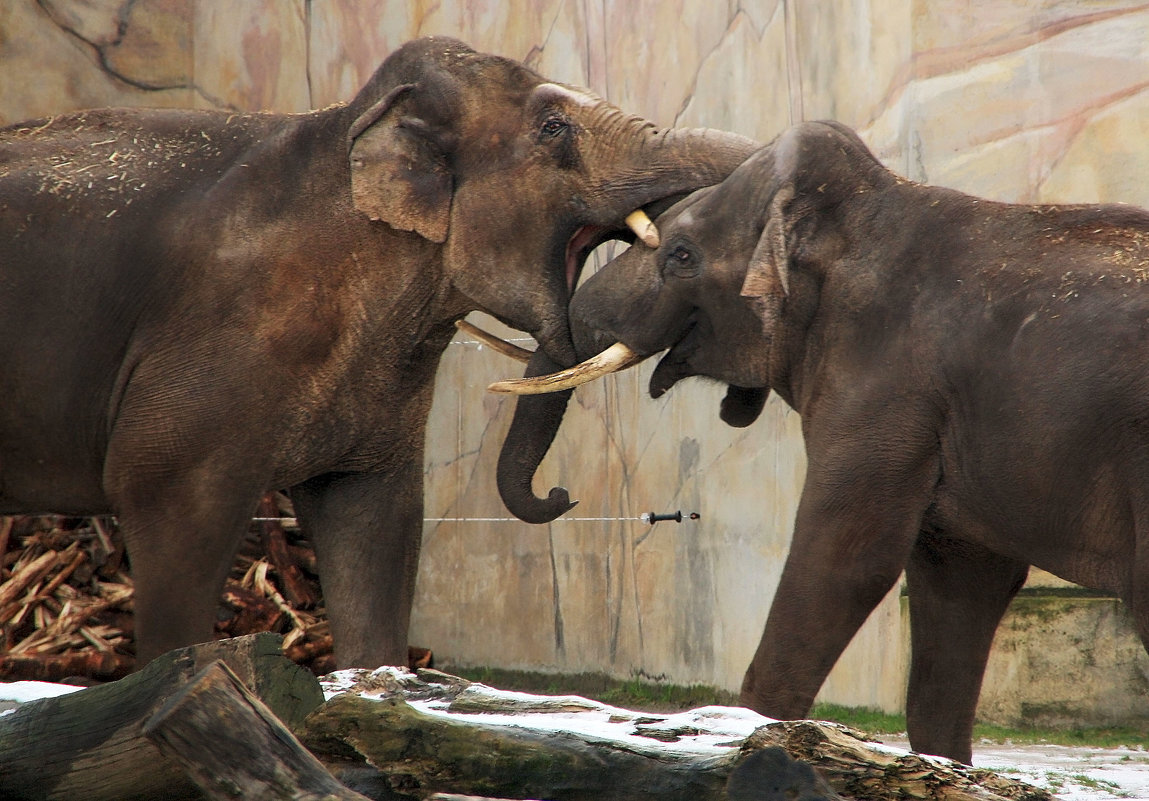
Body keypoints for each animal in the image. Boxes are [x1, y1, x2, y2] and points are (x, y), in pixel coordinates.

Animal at [0, 35, 758, 666]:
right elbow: (163, 502)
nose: (565, 495)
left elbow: (374, 524)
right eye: (553, 128)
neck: (347, 126)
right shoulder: (207, 358)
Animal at [491, 118, 1149, 763]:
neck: (866, 209)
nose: (561, 495)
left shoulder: (884, 384)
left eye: (681, 255)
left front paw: (758, 745)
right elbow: (962, 581)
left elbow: (849, 559)